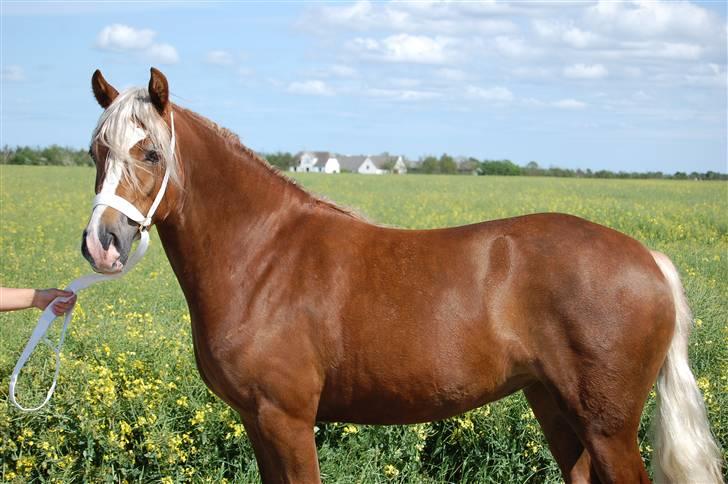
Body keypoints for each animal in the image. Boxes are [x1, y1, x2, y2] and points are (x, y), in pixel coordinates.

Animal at [81, 69, 724, 484]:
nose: (100, 244)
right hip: (556, 408)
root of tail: (647, 259)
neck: (264, 257)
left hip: (608, 426)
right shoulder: (258, 422)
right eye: (96, 152)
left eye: (151, 153)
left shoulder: (286, 420)